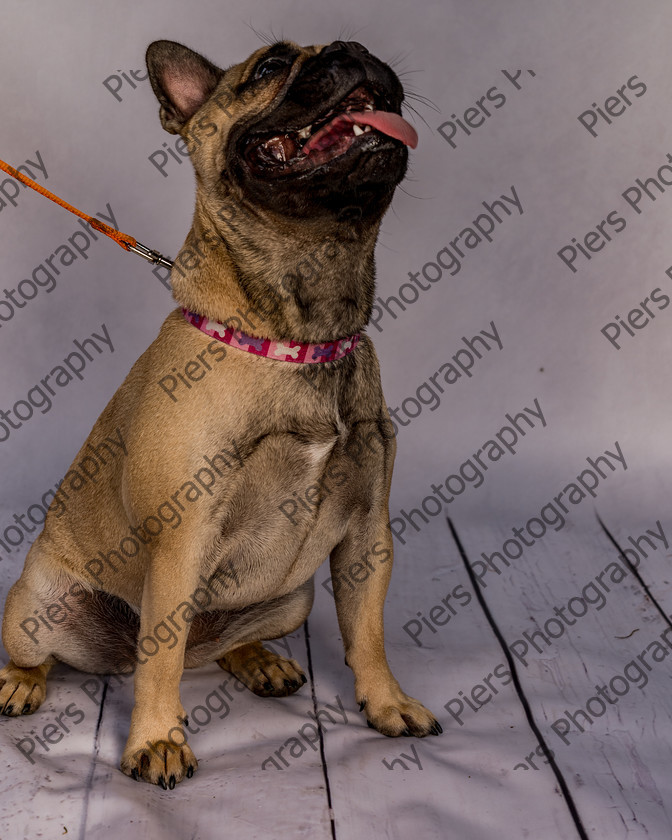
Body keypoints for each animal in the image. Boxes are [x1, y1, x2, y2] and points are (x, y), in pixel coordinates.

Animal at [0, 37, 440, 788]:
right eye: (269, 68)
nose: (353, 49)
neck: (298, 332)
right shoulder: (181, 540)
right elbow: (160, 658)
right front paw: (156, 740)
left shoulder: (366, 536)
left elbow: (369, 631)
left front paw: (386, 702)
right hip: (37, 600)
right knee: (63, 654)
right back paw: (21, 682)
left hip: (292, 598)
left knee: (217, 646)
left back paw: (256, 660)